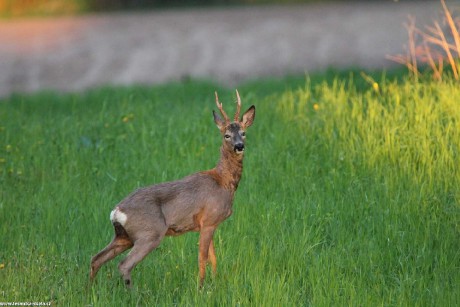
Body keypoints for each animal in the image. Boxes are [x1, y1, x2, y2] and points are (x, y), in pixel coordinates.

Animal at [90, 90, 255, 288]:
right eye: (227, 135)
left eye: (244, 133)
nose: (239, 146)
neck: (223, 181)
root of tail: (117, 211)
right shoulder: (208, 220)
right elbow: (202, 258)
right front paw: (200, 287)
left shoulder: (210, 224)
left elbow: (213, 258)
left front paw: (215, 284)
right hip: (150, 233)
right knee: (124, 265)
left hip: (124, 237)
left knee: (96, 258)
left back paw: (89, 290)